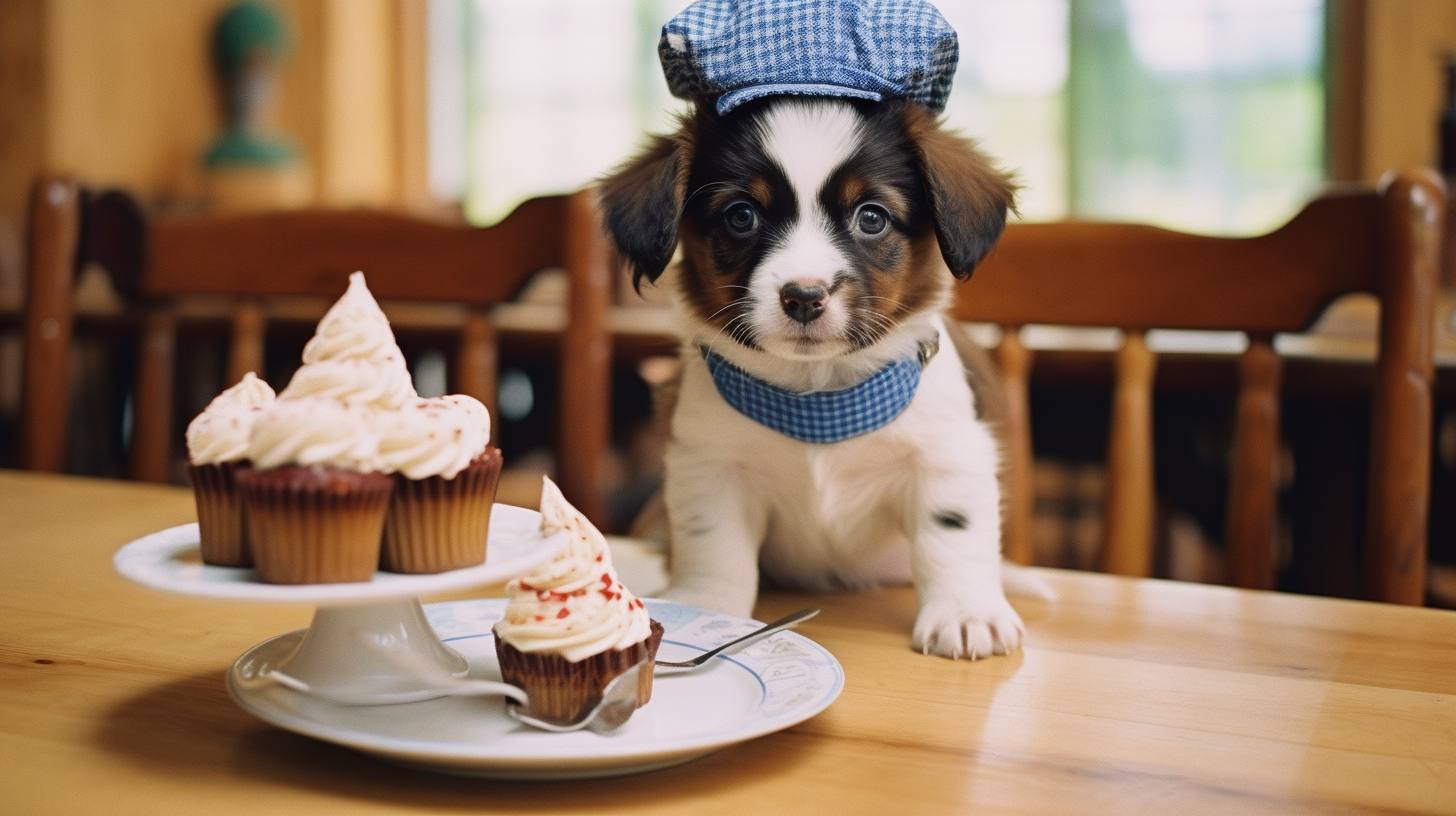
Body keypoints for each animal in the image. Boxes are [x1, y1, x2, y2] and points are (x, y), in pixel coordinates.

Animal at [599, 95, 1025, 658]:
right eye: (742, 215)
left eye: (872, 218)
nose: (804, 296)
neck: (818, 398)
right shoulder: (711, 464)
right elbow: (715, 546)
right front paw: (708, 609)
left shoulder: (946, 454)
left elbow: (953, 535)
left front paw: (966, 612)